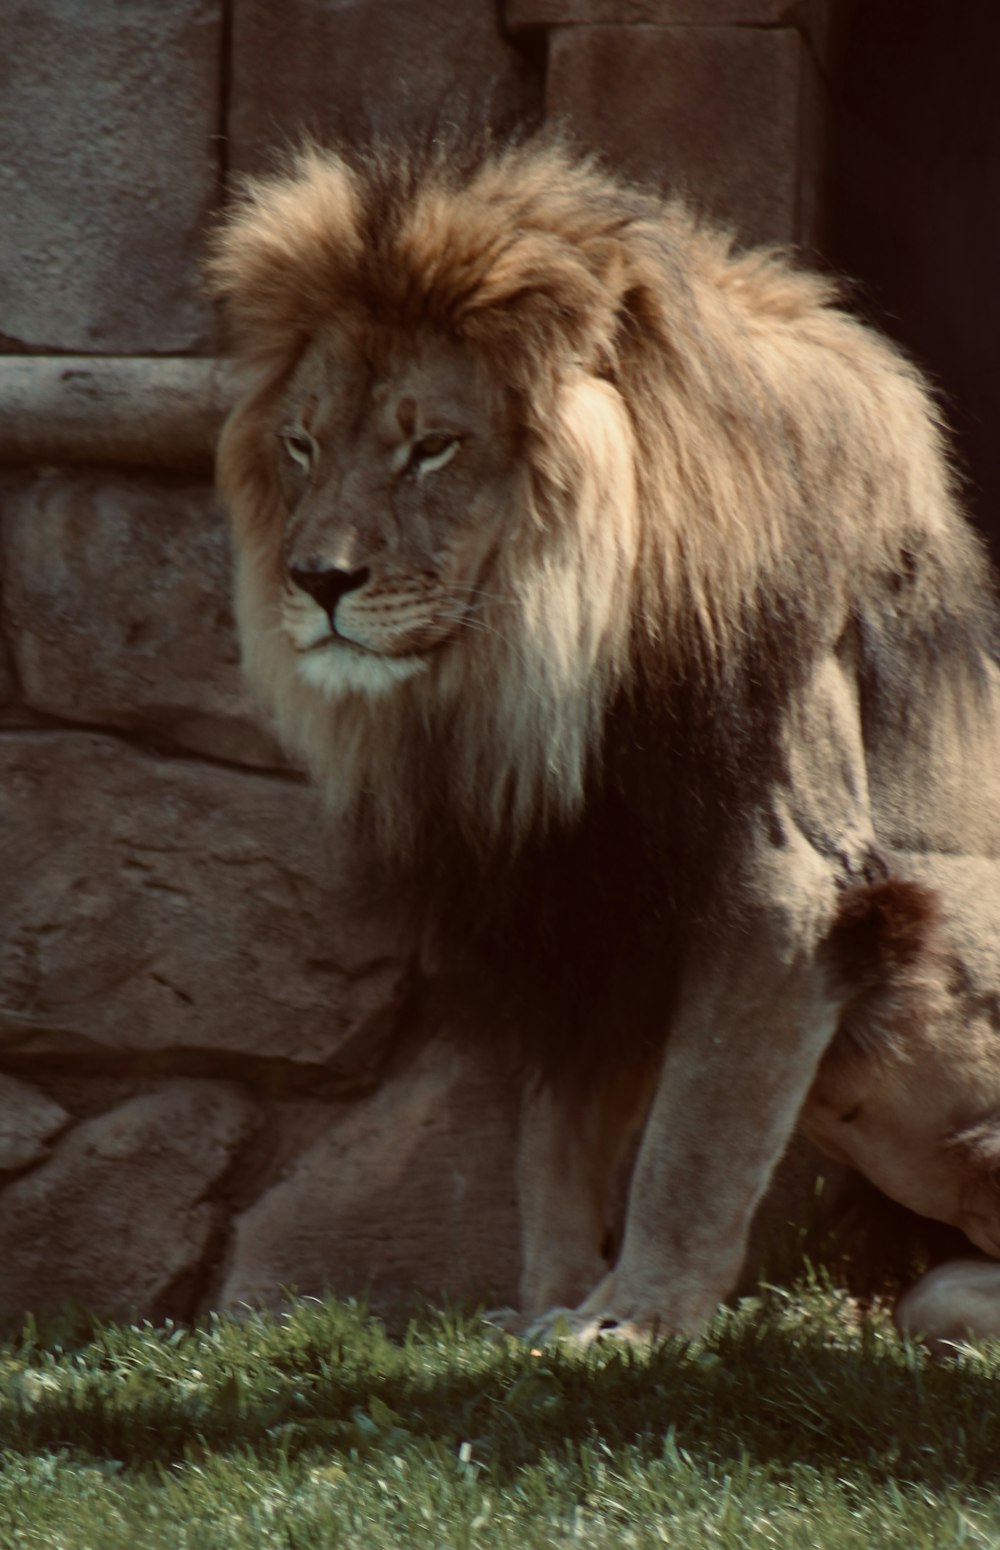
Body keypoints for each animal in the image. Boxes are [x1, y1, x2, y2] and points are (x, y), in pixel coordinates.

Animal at [204, 136, 1000, 1345]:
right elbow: (552, 1146)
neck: (561, 662)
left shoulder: (786, 884)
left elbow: (694, 1135)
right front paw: (542, 1305)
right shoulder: (576, 906)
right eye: (299, 445)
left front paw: (632, 1321)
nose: (316, 580)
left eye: (431, 449)